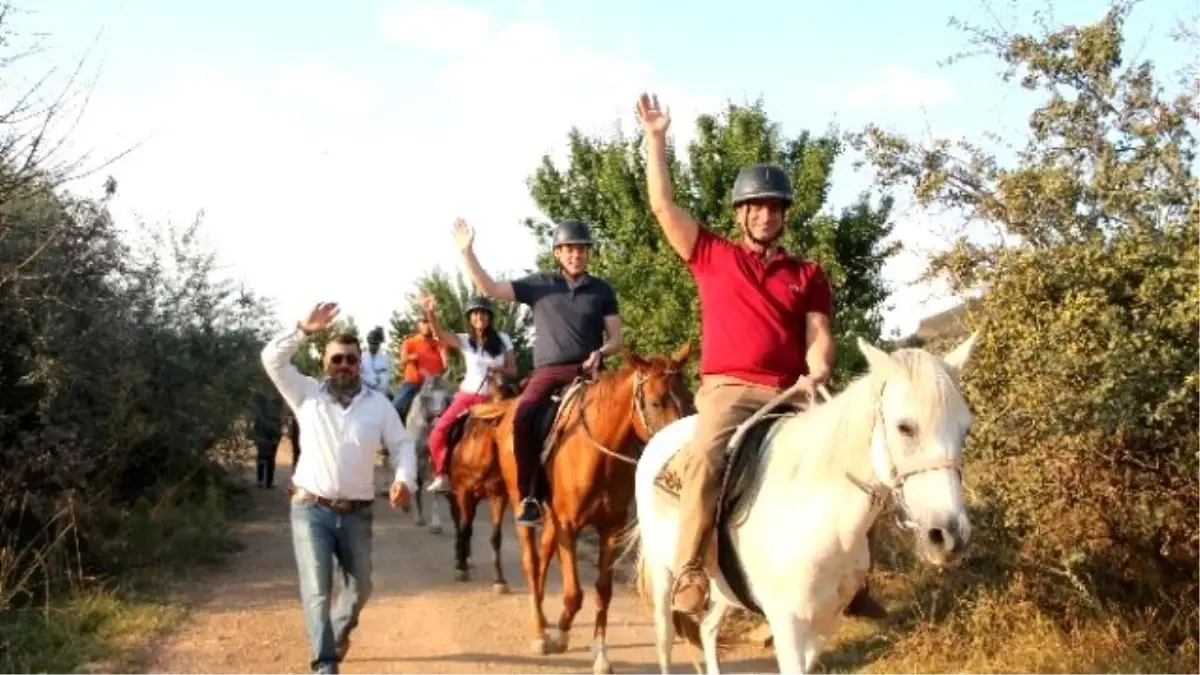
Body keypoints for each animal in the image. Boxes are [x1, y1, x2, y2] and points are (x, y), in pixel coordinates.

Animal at [408, 372, 453, 530]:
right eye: (428, 396)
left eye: (446, 397)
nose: (437, 421)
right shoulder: (416, 455)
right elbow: (416, 483)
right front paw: (418, 517)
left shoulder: (435, 458)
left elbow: (435, 486)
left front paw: (436, 523)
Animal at [492, 341, 696, 672]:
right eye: (655, 403)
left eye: (689, 399)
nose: (683, 458)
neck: (599, 454)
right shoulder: (568, 525)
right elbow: (574, 593)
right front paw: (560, 636)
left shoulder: (610, 527)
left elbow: (603, 590)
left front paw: (600, 654)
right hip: (522, 504)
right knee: (531, 563)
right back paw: (539, 632)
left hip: (552, 518)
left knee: (544, 557)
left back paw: (545, 622)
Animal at [628, 333, 974, 667]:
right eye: (905, 427)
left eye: (965, 430)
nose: (948, 536)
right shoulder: (787, 624)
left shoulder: (827, 621)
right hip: (663, 579)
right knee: (665, 641)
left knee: (708, 629)